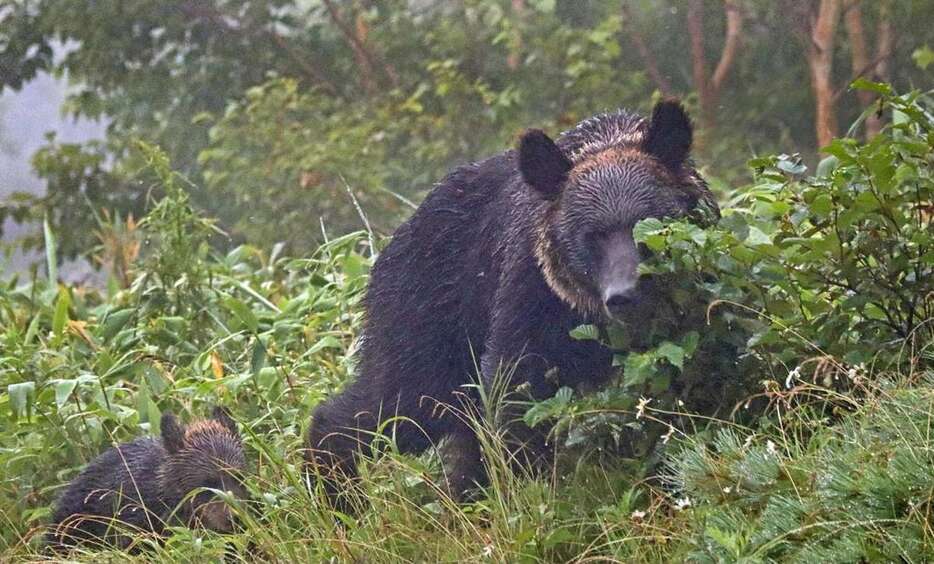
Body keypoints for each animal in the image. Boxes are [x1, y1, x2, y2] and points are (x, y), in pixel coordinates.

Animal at [306, 99, 716, 504]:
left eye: (647, 223)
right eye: (591, 236)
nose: (624, 295)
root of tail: (391, 241)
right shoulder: (532, 294)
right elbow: (516, 387)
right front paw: (534, 485)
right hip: (430, 315)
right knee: (398, 401)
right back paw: (334, 485)